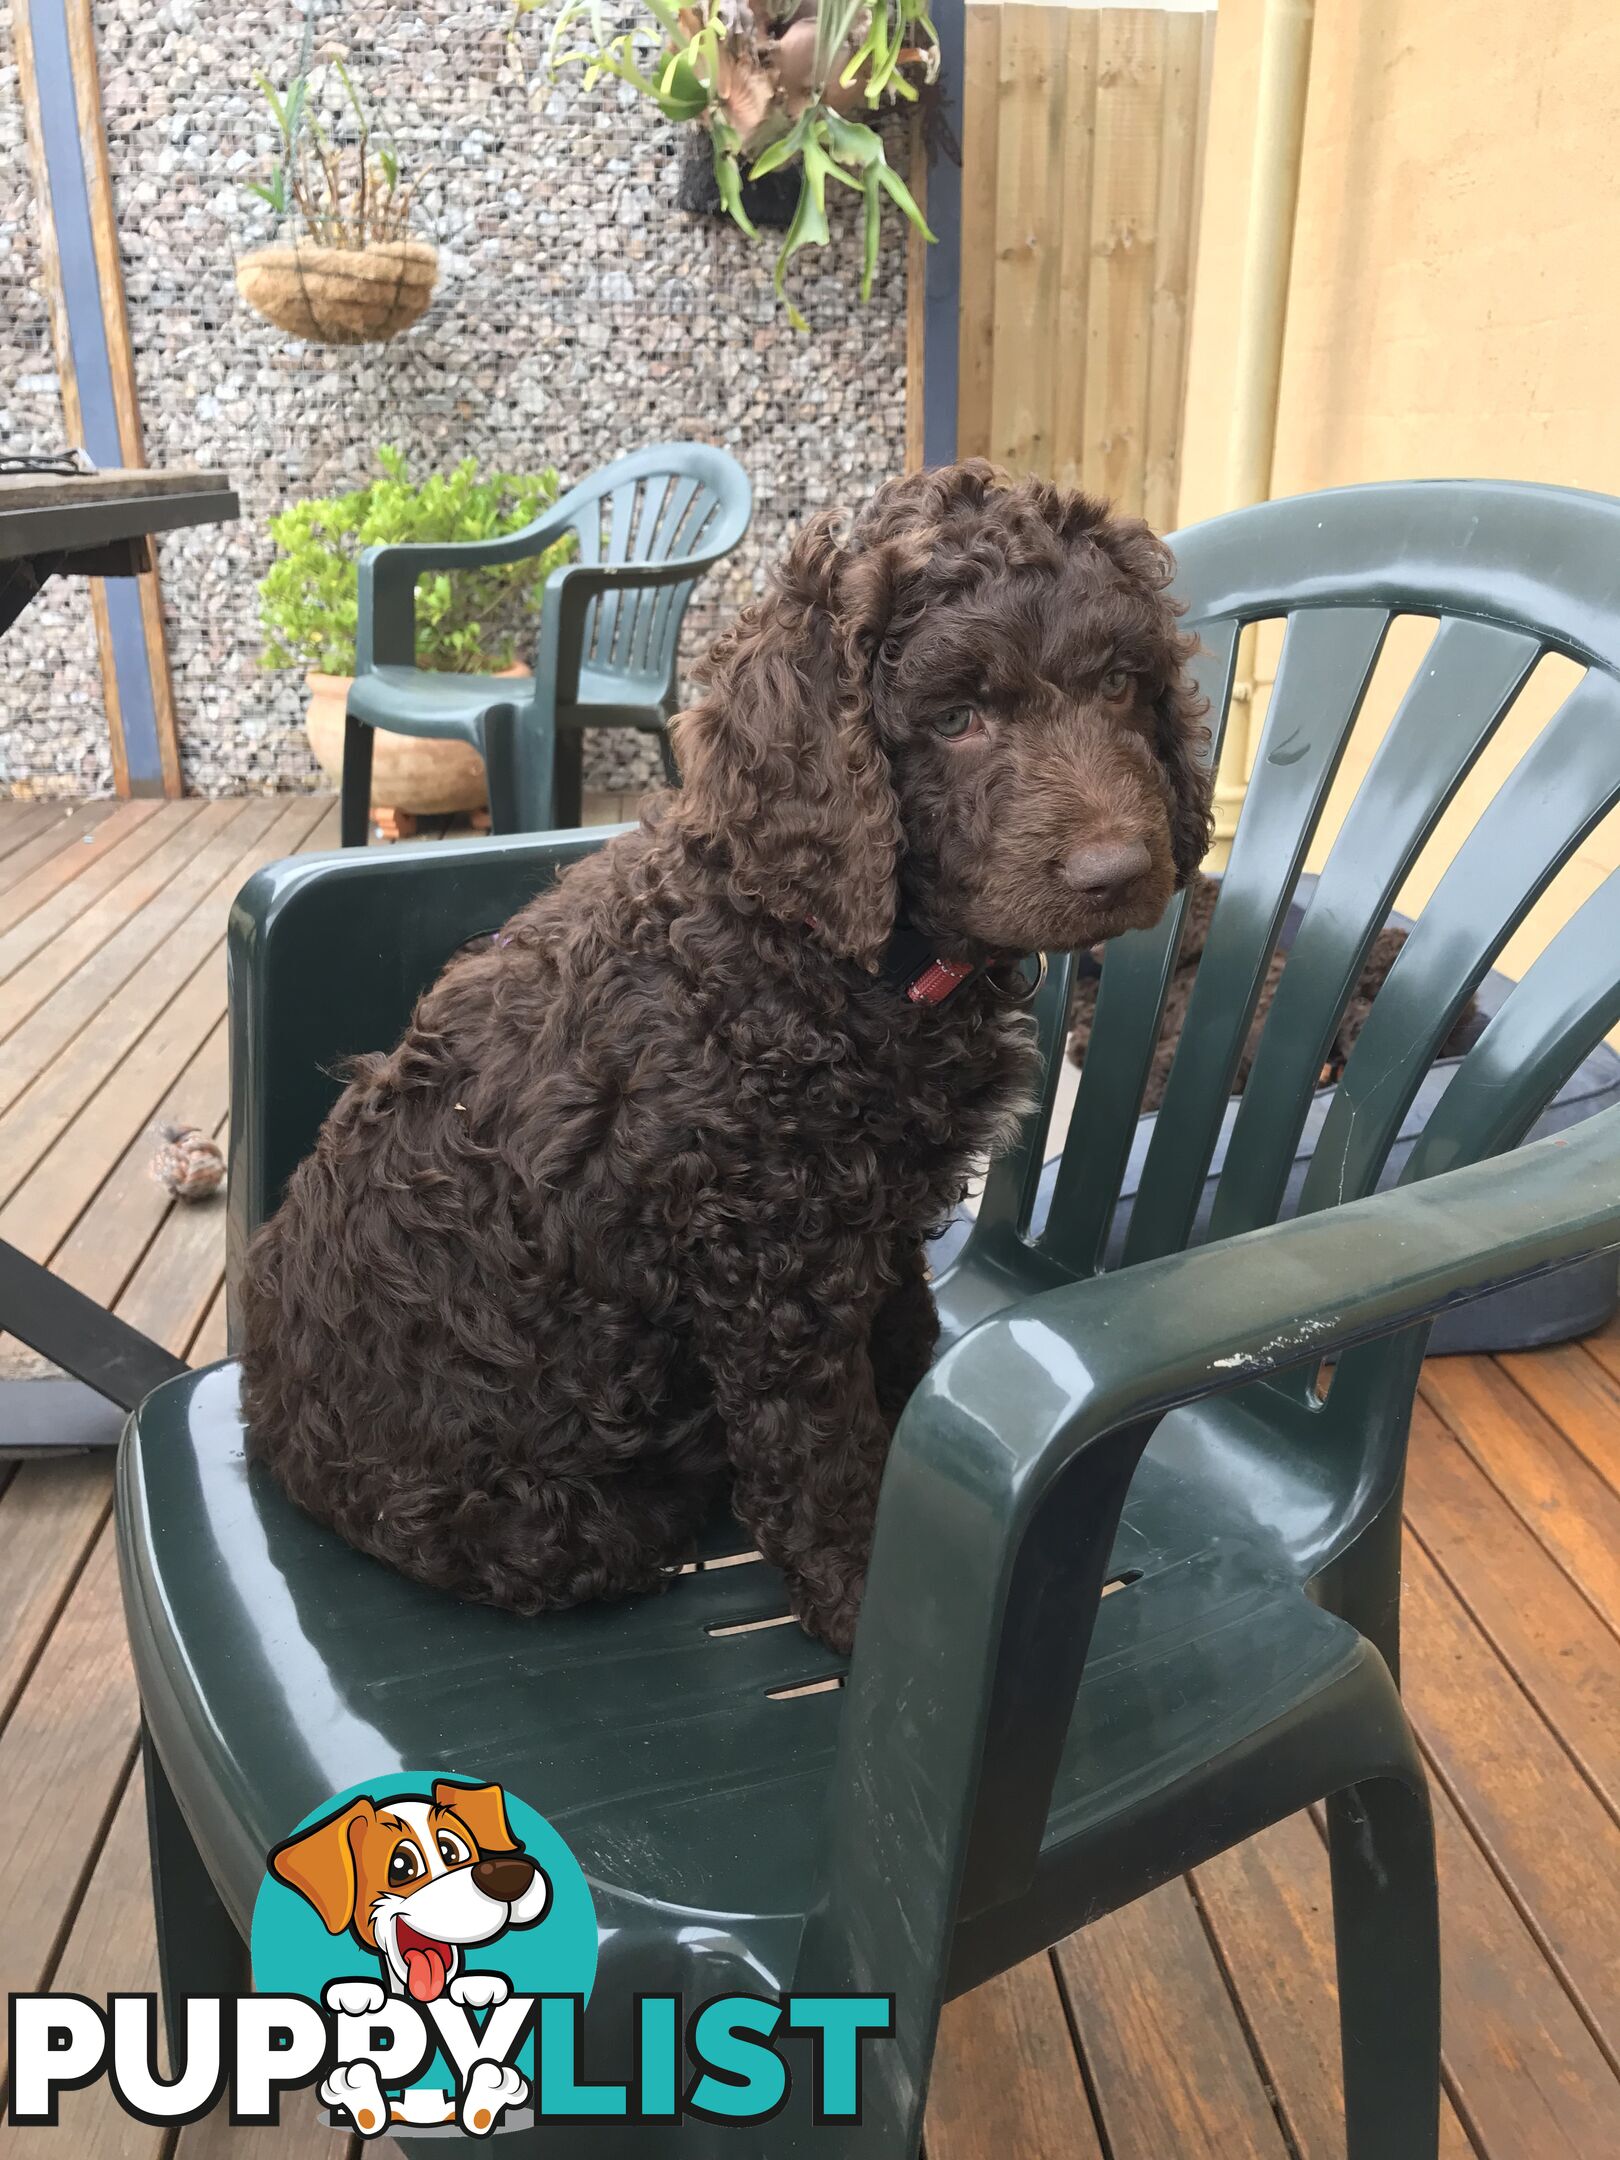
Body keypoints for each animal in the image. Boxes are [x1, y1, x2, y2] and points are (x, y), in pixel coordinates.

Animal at [244, 464, 1218, 1641]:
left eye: (1121, 685)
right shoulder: (769, 1263)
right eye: (956, 718)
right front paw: (862, 1591)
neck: (825, 956)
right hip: (550, 1519)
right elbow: (819, 1446)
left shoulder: (876, 1218)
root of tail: (266, 1427)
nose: (1119, 870)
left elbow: (903, 1334)